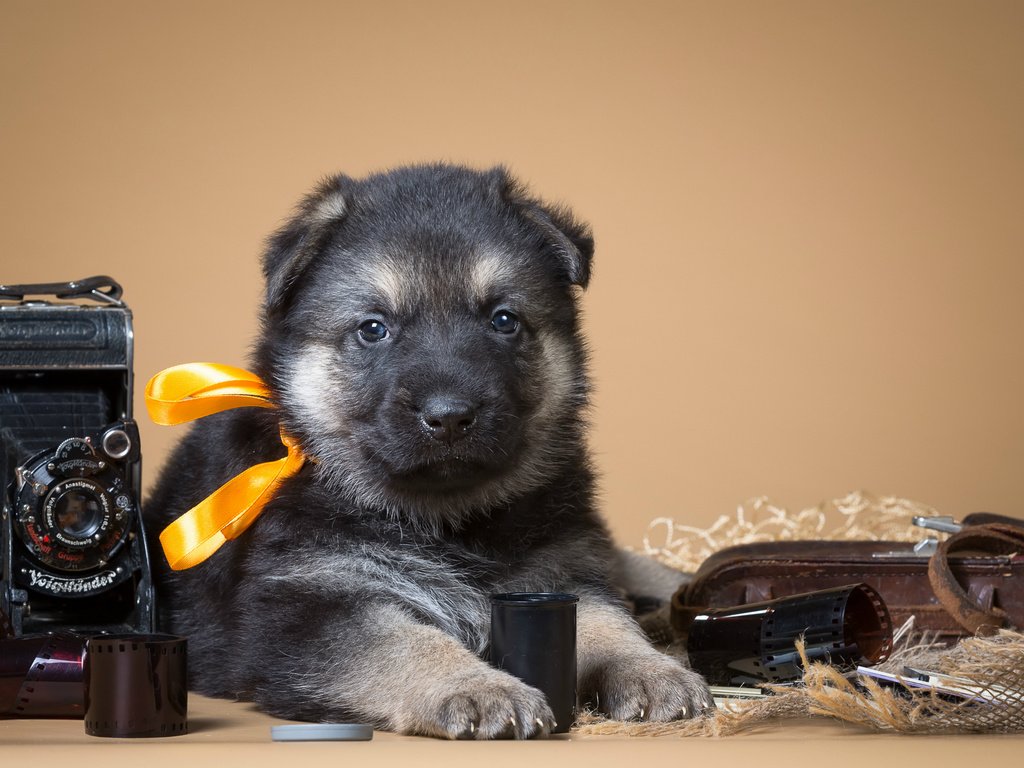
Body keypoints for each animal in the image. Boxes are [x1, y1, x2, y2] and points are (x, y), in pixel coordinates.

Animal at [146, 163, 712, 741]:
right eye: (373, 328)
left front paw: (651, 670)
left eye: (503, 320)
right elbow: (403, 643)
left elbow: (606, 622)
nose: (449, 417)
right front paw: (477, 687)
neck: (449, 520)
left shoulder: (567, 569)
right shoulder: (310, 603)